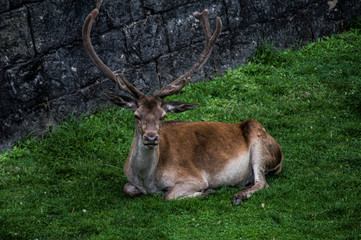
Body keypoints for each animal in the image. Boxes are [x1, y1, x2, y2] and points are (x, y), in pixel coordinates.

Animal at [82, 1, 282, 205]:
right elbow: (128, 188)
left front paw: (208, 191)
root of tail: (279, 152)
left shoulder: (194, 177)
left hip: (259, 140)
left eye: (163, 116)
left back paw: (238, 196)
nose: (151, 138)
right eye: (136, 115)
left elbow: (167, 195)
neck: (147, 180)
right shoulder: (131, 182)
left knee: (262, 182)